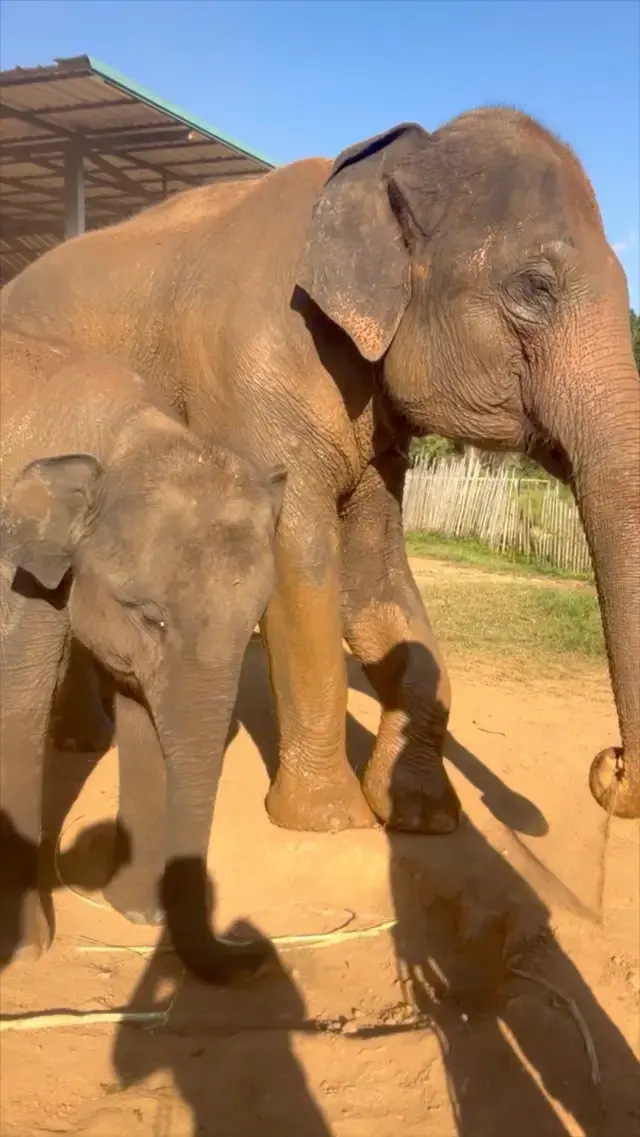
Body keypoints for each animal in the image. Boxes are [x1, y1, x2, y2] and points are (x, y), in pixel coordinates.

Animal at [0, 325, 287, 980]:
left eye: (253, 628)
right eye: (151, 616)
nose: (256, 951)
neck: (124, 434)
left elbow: (140, 712)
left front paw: (133, 914)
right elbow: (19, 706)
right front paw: (25, 953)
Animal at [2, 106, 638, 828]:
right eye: (535, 288)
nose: (609, 765)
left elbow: (375, 576)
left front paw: (418, 815)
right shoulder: (251, 378)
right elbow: (300, 563)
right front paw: (331, 818)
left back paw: (87, 740)